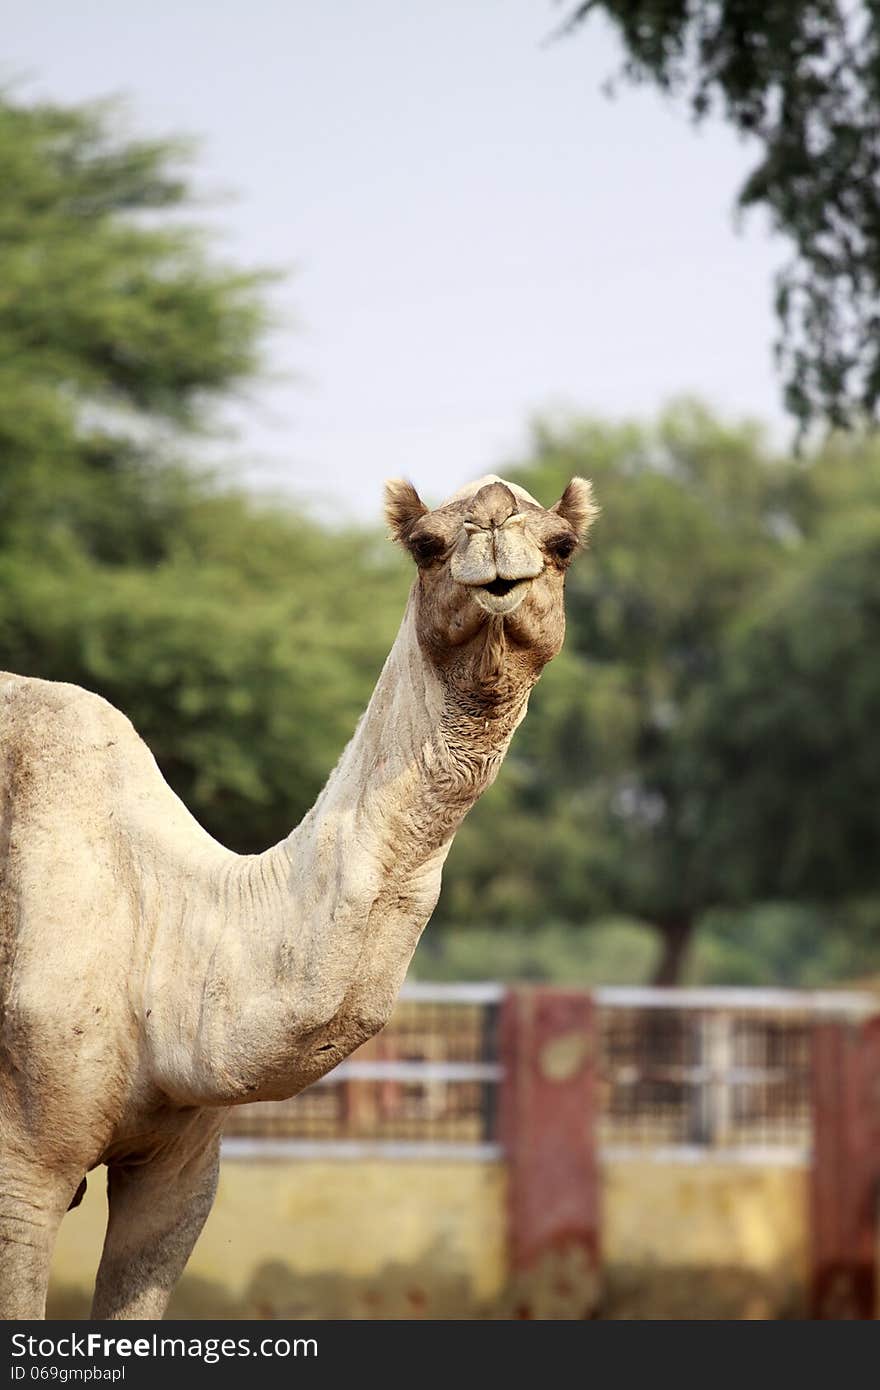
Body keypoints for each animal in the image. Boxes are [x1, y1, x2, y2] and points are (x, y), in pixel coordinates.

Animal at [0, 472, 597, 1317]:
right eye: (425, 544)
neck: (165, 921)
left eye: (563, 545)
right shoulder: (23, 1164)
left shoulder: (181, 1168)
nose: (494, 525)